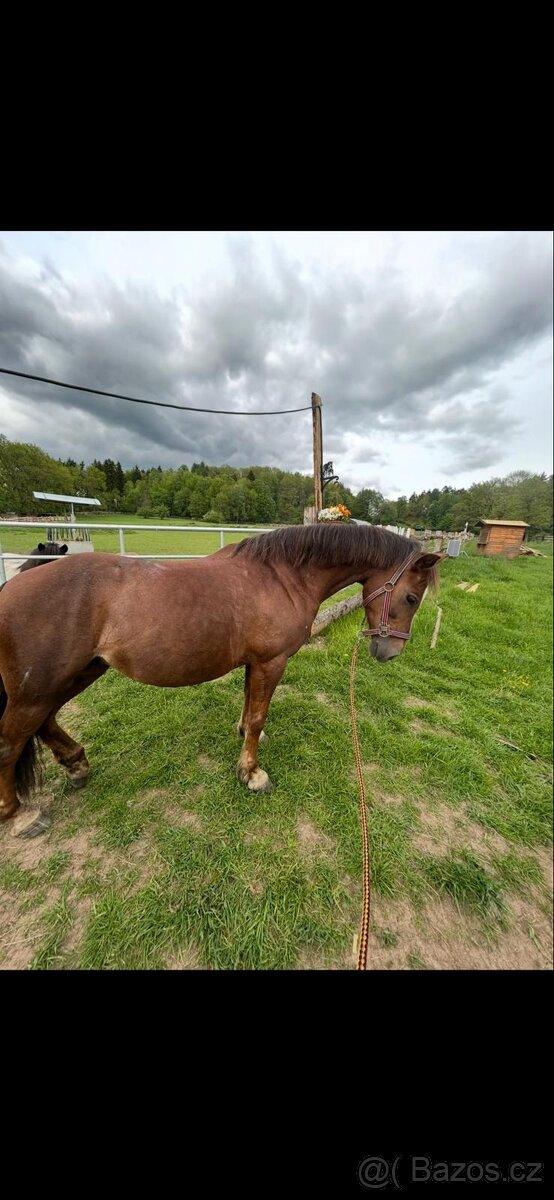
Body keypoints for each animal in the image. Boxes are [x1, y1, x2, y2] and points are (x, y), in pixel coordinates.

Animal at [0, 524, 443, 825]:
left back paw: (76, 764)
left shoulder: (255, 663)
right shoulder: (271, 661)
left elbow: (249, 706)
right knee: (11, 740)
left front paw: (245, 738)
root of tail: (14, 583)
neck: (282, 576)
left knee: (45, 722)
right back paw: (19, 815)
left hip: (75, 674)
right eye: (410, 596)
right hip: (39, 686)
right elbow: (260, 713)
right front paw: (252, 773)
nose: (389, 652)